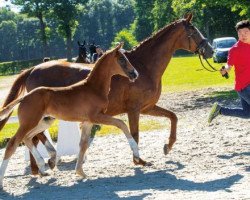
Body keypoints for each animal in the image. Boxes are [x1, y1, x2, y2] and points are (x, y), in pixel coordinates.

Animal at [0, 14, 214, 173]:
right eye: (193, 31)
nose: (211, 50)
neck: (144, 66)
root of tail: (32, 69)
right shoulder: (134, 109)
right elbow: (134, 133)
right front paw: (138, 159)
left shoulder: (148, 107)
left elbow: (173, 116)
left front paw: (167, 146)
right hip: (40, 114)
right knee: (31, 137)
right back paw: (43, 165)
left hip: (46, 115)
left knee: (32, 137)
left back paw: (43, 166)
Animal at [0, 43, 140, 188]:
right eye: (122, 59)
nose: (135, 73)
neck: (93, 88)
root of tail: (24, 97)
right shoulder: (96, 117)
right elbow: (122, 124)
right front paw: (136, 153)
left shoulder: (88, 122)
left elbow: (83, 144)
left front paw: (80, 172)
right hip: (29, 122)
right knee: (13, 143)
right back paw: (3, 181)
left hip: (42, 121)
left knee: (28, 137)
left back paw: (44, 165)